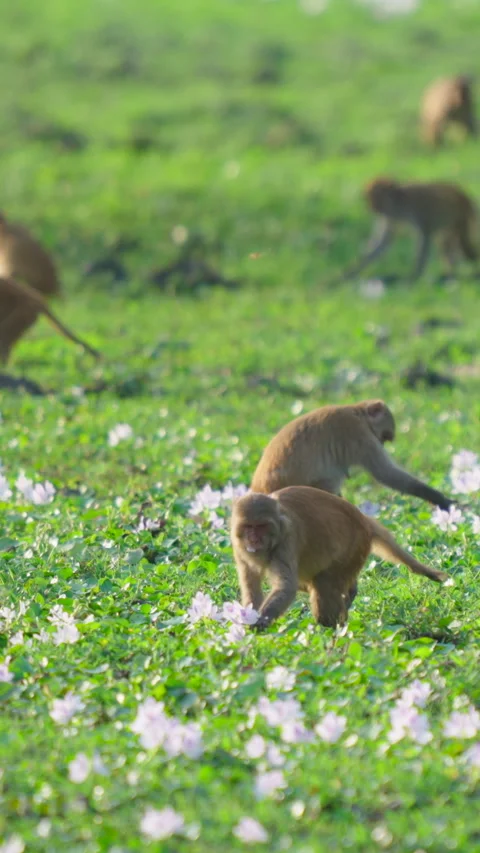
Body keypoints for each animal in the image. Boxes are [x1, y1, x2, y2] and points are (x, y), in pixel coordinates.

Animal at [231, 487, 449, 630]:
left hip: (354, 547)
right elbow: (252, 588)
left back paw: (331, 627)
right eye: (249, 527)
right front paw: (249, 616)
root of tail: (363, 520)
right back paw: (350, 594)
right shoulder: (238, 549)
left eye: (261, 527)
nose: (254, 539)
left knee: (324, 585)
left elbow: (286, 587)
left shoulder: (286, 542)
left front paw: (260, 622)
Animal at [251, 400, 452, 510]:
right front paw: (438, 498)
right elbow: (385, 474)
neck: (357, 411)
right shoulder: (359, 433)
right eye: (384, 437)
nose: (381, 443)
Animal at [342, 179, 478, 283]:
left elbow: (424, 236)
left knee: (464, 245)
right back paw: (450, 274)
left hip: (461, 217)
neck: (397, 203)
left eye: (375, 198)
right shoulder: (389, 217)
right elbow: (381, 245)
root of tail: (464, 196)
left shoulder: (414, 208)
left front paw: (414, 277)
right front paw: (349, 274)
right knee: (448, 244)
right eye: (368, 199)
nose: (372, 208)